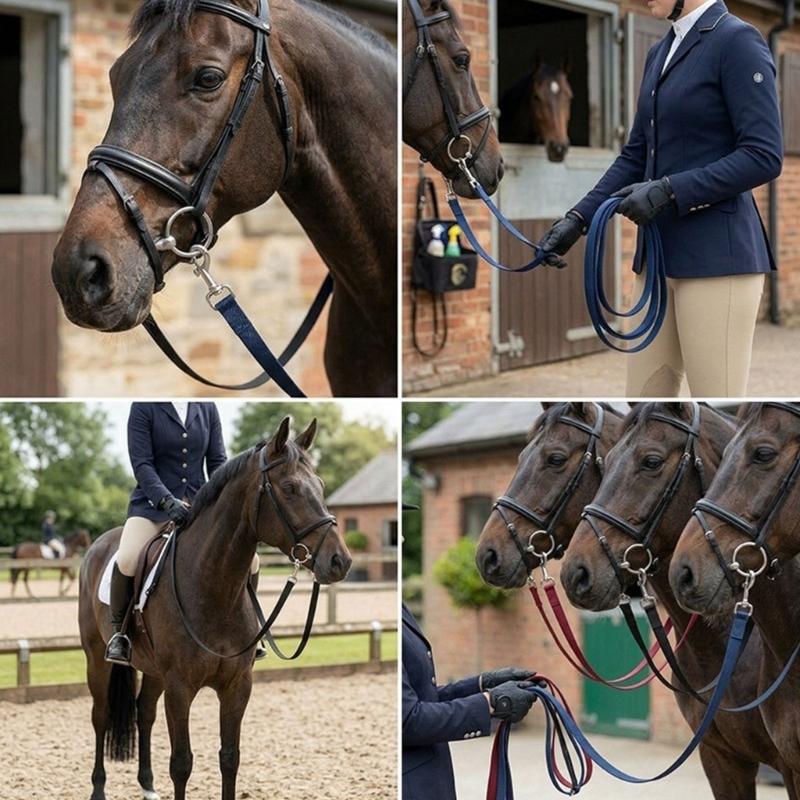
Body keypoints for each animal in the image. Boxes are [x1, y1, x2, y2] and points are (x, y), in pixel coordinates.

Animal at [78, 416, 352, 800]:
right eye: (290, 487)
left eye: (321, 485)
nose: (340, 561)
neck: (214, 588)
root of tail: (99, 544)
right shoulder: (180, 687)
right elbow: (181, 763)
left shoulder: (237, 685)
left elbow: (230, 758)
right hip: (96, 657)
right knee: (100, 715)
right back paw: (99, 789)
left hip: (153, 670)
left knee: (144, 713)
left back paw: (148, 786)